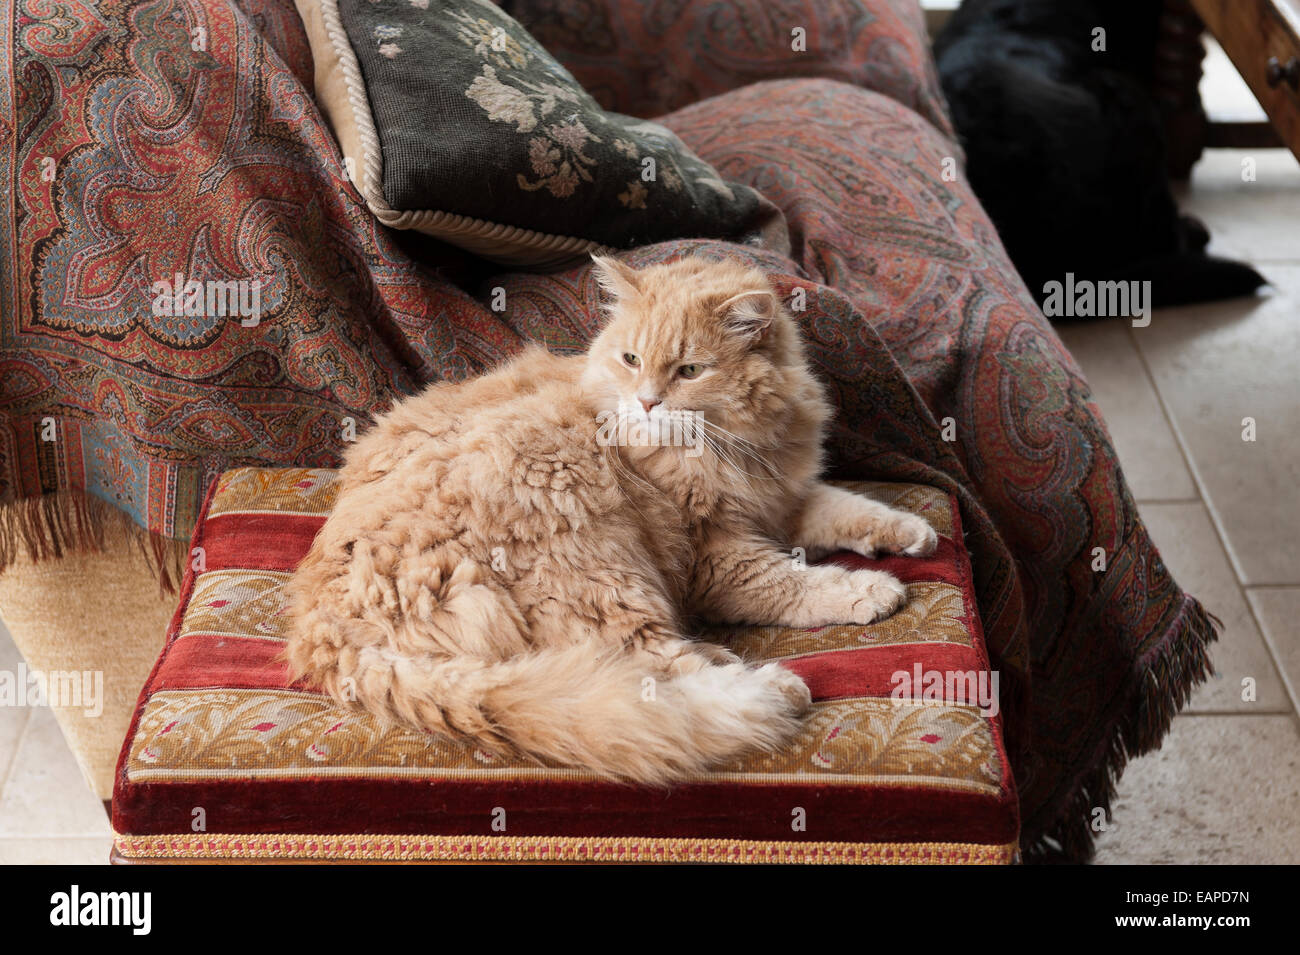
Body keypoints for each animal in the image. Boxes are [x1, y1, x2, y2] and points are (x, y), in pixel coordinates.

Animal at [284, 254, 935, 784]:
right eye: (632, 360)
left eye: (689, 371)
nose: (646, 402)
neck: (744, 447)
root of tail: (324, 629)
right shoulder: (720, 558)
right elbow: (796, 584)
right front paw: (870, 591)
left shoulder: (782, 503)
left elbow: (849, 507)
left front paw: (913, 533)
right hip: (600, 563)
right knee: (649, 664)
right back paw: (770, 684)